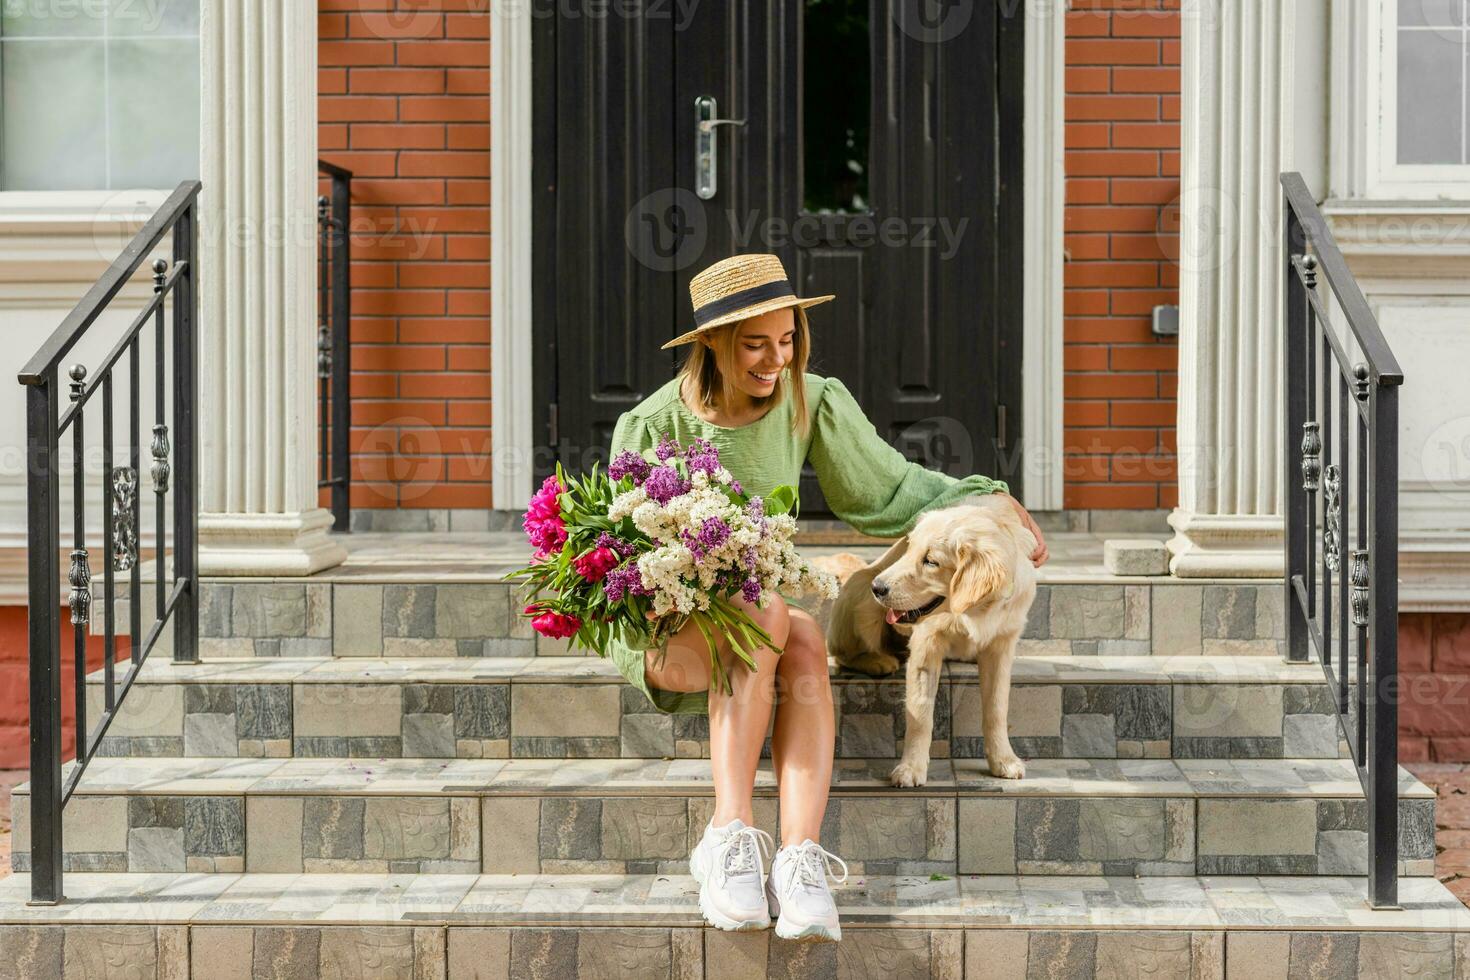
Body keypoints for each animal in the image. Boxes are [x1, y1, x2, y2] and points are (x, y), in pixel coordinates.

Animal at [829, 493, 1034, 787]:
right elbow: (920, 713)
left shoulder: (1002, 643)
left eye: (931, 561)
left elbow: (997, 708)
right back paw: (877, 660)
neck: (971, 611)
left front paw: (1003, 759)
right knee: (841, 654)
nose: (878, 588)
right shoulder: (927, 642)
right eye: (909, 548)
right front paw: (911, 768)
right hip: (861, 599)